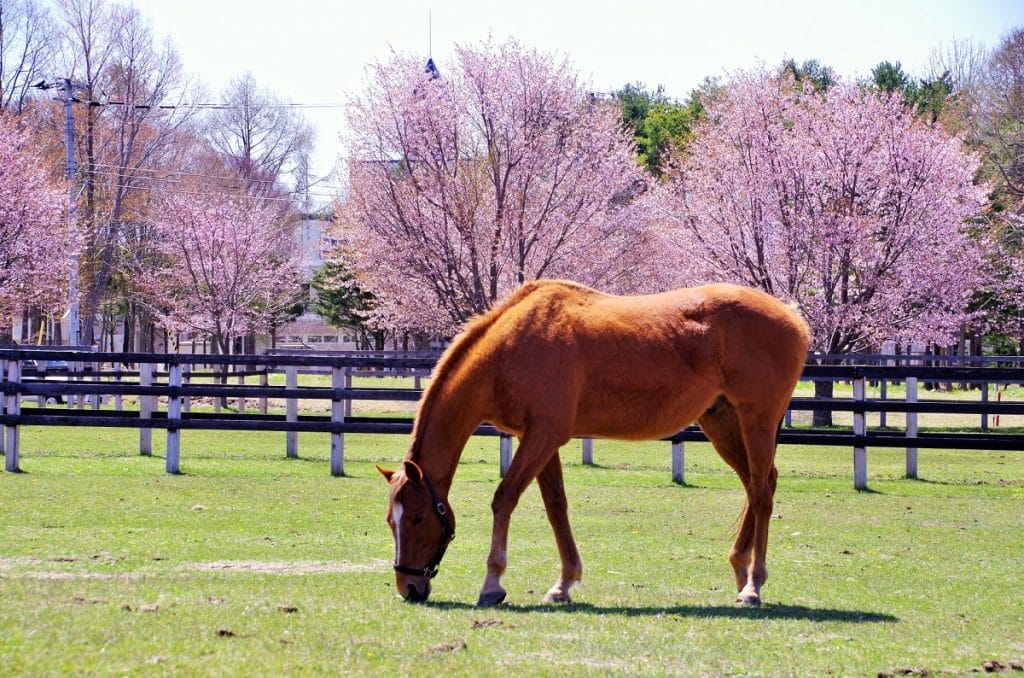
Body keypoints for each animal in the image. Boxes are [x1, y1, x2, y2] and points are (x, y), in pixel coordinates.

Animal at [376, 278, 806, 606]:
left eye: (417, 518)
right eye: (390, 521)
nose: (408, 588)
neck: (510, 349)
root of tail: (792, 316)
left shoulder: (543, 436)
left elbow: (504, 498)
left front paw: (493, 584)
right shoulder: (539, 438)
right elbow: (556, 506)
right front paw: (563, 583)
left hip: (756, 421)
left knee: (761, 494)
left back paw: (753, 586)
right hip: (723, 422)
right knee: (758, 485)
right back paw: (740, 569)